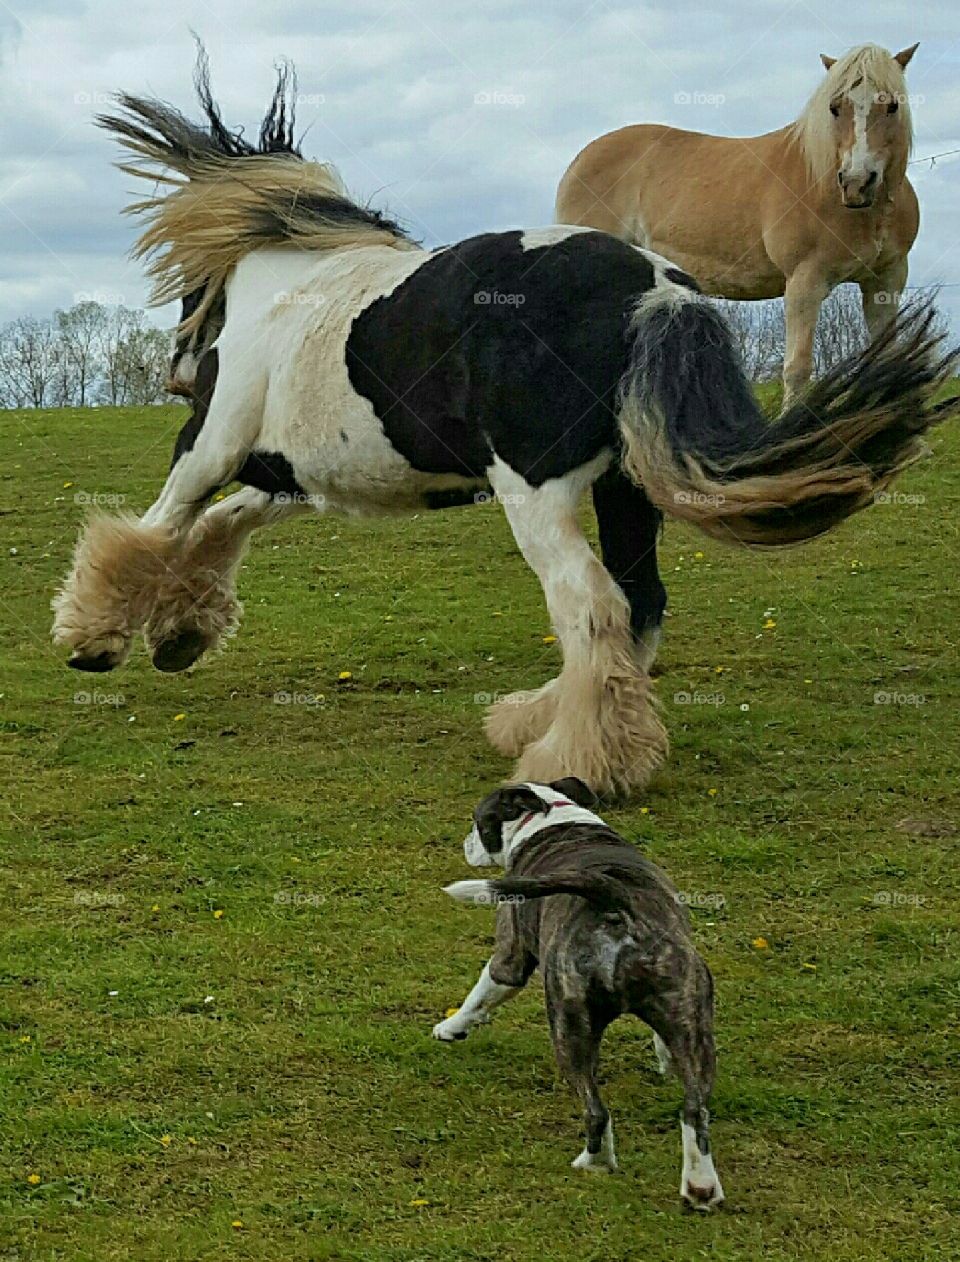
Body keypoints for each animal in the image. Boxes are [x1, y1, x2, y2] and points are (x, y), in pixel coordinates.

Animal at [431, 777, 716, 1211]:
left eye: (478, 822)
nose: (465, 842)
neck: (550, 819)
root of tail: (617, 906)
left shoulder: (510, 954)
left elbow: (481, 993)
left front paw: (451, 1027)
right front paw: (664, 1057)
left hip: (569, 1026)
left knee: (596, 1110)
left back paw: (594, 1162)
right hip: (691, 1013)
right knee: (694, 1111)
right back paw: (701, 1188)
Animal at [555, 43, 923, 403]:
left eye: (892, 106)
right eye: (835, 108)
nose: (857, 182)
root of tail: (580, 162)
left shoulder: (885, 281)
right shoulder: (805, 282)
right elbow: (797, 369)